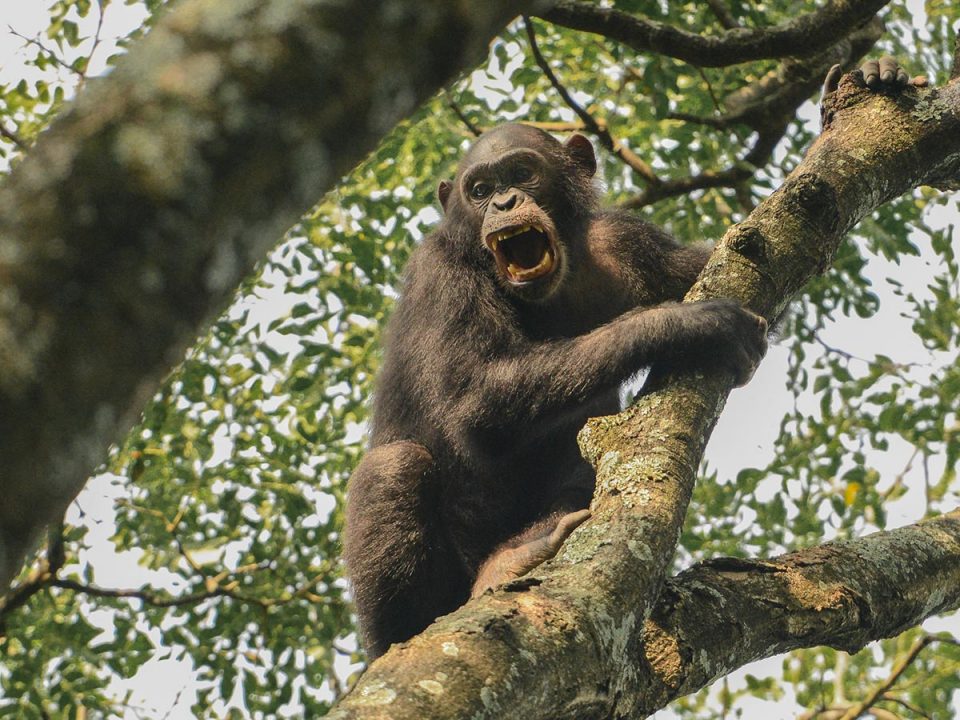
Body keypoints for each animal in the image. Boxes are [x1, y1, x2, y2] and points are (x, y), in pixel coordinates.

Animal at [343, 58, 916, 660]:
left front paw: (860, 86)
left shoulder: (630, 240)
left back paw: (518, 554)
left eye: (521, 173)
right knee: (394, 469)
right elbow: (472, 401)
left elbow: (740, 254)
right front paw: (689, 324)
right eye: (479, 189)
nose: (502, 202)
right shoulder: (439, 273)